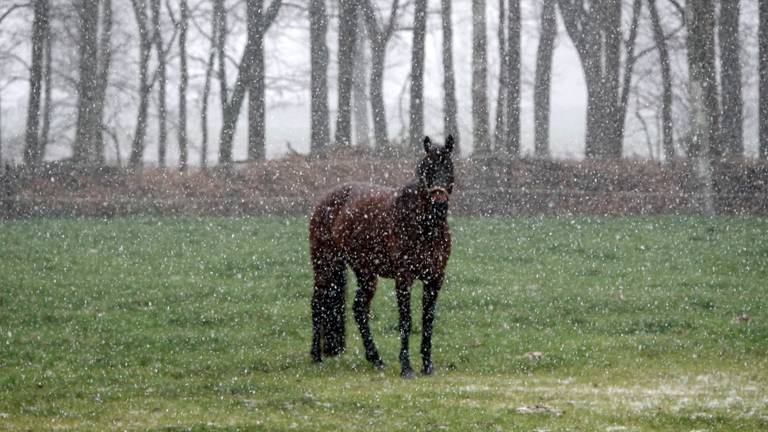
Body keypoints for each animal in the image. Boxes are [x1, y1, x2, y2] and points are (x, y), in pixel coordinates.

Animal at [308, 135, 452, 378]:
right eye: (427, 170)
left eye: (449, 167)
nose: (439, 200)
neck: (424, 225)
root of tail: (324, 201)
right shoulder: (404, 278)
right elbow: (406, 320)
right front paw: (406, 368)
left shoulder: (434, 278)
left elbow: (428, 320)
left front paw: (427, 366)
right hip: (325, 267)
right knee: (318, 304)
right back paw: (316, 356)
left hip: (365, 274)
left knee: (359, 309)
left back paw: (376, 359)